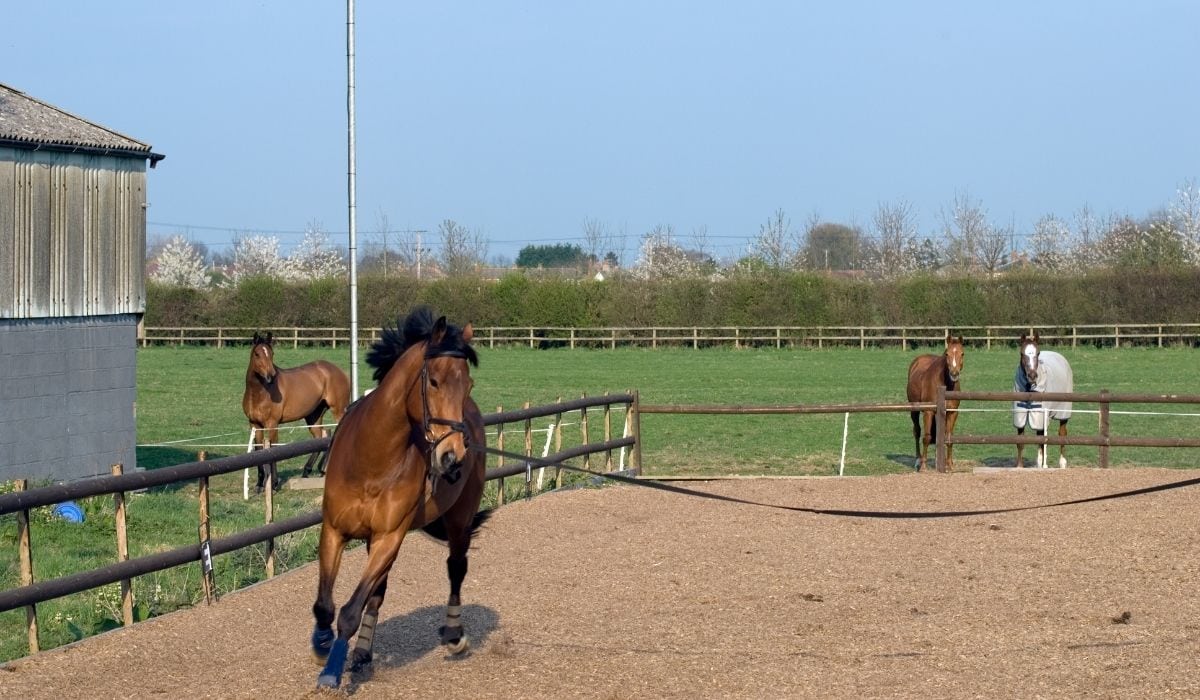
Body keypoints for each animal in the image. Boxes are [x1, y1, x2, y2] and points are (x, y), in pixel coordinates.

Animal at [242, 332, 351, 492]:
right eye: (257, 354)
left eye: (271, 353)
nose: (271, 376)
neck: (259, 393)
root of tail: (339, 371)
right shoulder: (254, 424)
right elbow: (258, 451)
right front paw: (260, 484)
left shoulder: (272, 424)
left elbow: (273, 449)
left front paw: (274, 483)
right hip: (313, 416)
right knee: (320, 436)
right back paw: (309, 470)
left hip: (338, 410)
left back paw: (322, 469)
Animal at [310, 307, 489, 690]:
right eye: (433, 381)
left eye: (467, 384)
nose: (453, 457)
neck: (372, 460)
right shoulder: (334, 531)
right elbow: (326, 605)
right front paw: (321, 645)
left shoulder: (389, 538)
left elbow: (350, 611)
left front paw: (331, 670)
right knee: (378, 592)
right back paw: (362, 653)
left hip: (459, 520)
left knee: (456, 568)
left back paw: (454, 635)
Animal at [906, 335, 965, 472]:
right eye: (947, 354)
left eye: (962, 353)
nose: (954, 374)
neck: (945, 385)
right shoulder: (928, 412)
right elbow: (927, 438)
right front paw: (923, 466)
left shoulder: (952, 412)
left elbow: (949, 437)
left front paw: (949, 465)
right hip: (914, 410)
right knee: (917, 431)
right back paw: (918, 460)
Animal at [1013, 333, 1073, 468]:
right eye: (1021, 353)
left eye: (1038, 353)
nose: (1032, 376)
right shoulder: (1020, 415)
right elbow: (1020, 442)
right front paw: (1019, 466)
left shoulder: (1040, 416)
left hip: (1063, 412)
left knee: (1062, 434)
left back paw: (1062, 463)